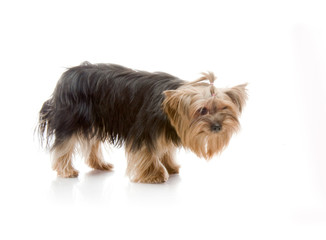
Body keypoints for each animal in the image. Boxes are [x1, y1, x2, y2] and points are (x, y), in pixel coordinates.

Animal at [38, 61, 247, 182]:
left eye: (224, 108)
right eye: (202, 110)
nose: (218, 126)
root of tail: (66, 76)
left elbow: (165, 150)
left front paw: (170, 167)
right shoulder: (145, 130)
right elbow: (147, 153)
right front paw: (154, 175)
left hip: (95, 119)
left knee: (92, 143)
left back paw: (100, 164)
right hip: (71, 119)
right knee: (64, 145)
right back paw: (66, 171)